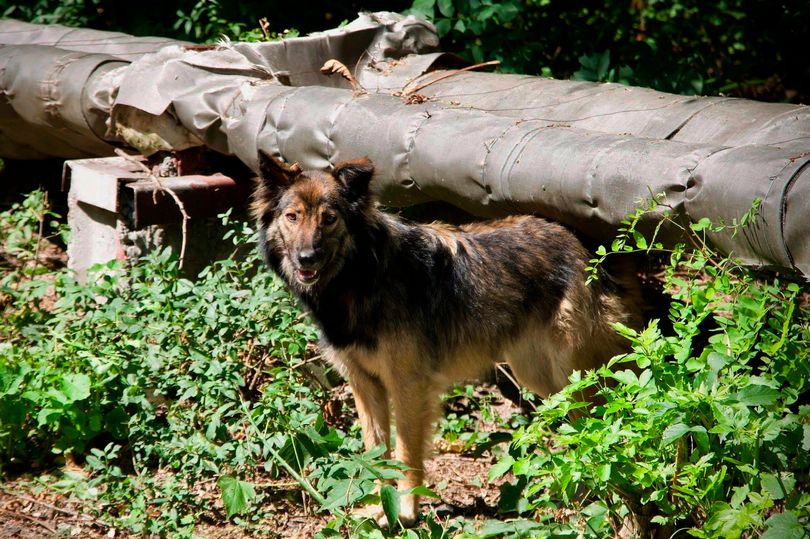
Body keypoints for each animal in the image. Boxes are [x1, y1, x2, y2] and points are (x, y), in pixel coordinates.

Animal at [249, 152, 640, 528]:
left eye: (329, 219)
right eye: (293, 217)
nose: (306, 258)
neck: (360, 276)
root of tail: (584, 249)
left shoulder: (407, 384)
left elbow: (406, 454)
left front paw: (405, 513)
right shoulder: (365, 384)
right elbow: (376, 453)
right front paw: (378, 509)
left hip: (573, 378)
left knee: (606, 424)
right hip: (539, 376)